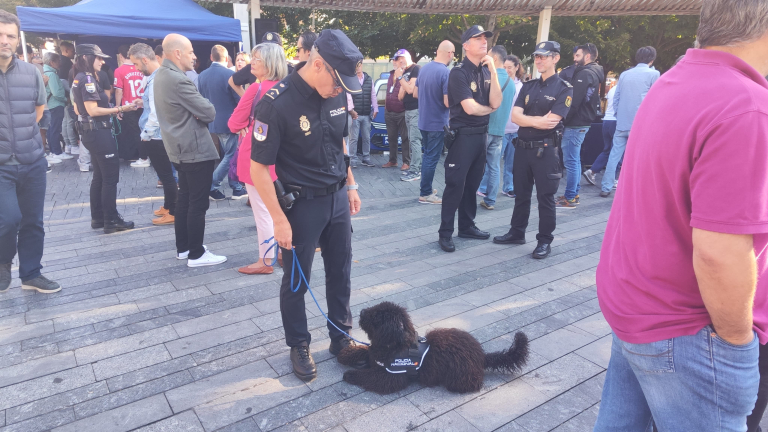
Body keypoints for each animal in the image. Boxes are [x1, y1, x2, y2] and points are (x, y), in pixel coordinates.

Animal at [338, 300, 528, 394]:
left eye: (378, 315)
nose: (362, 312)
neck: (393, 346)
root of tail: (482, 355)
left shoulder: (391, 377)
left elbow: (369, 375)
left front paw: (351, 374)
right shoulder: (373, 354)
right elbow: (362, 351)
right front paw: (345, 353)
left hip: (459, 377)